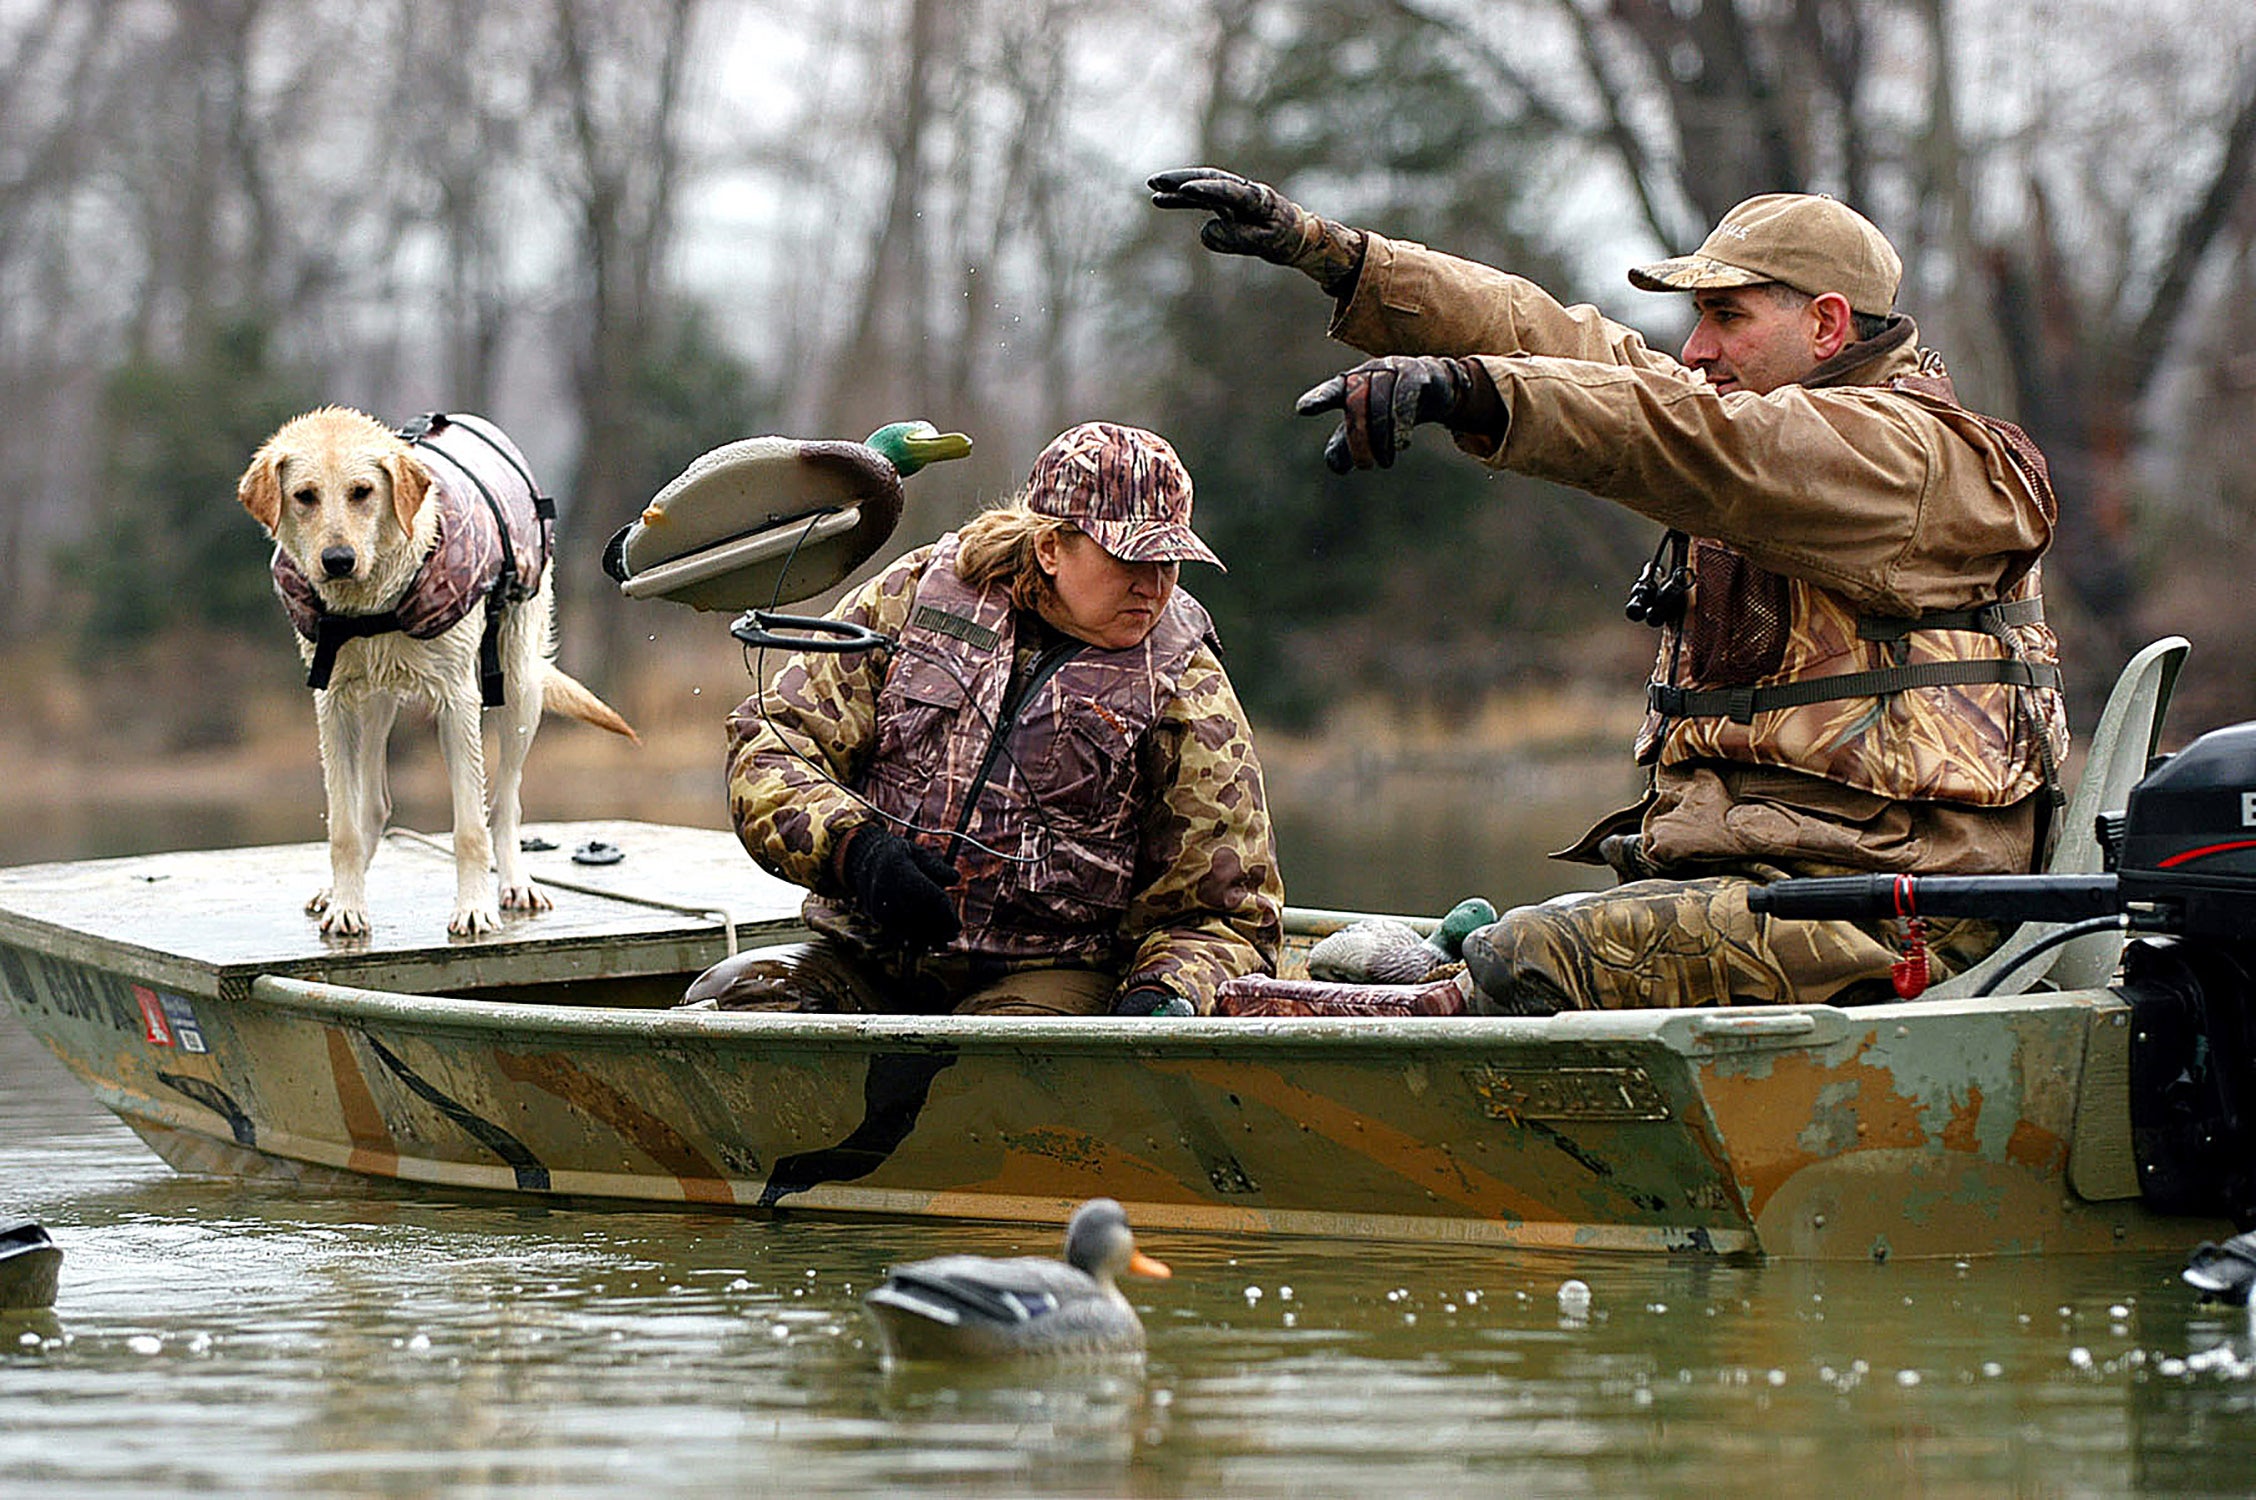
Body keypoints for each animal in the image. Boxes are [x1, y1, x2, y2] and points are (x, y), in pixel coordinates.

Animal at [240, 406, 636, 938]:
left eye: (362, 491)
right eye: (305, 496)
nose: (338, 561)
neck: (373, 604)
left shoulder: (458, 700)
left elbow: (469, 826)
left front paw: (473, 909)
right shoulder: (332, 702)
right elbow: (343, 826)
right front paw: (346, 904)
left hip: (519, 686)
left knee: (505, 803)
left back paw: (516, 883)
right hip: (374, 702)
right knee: (373, 805)